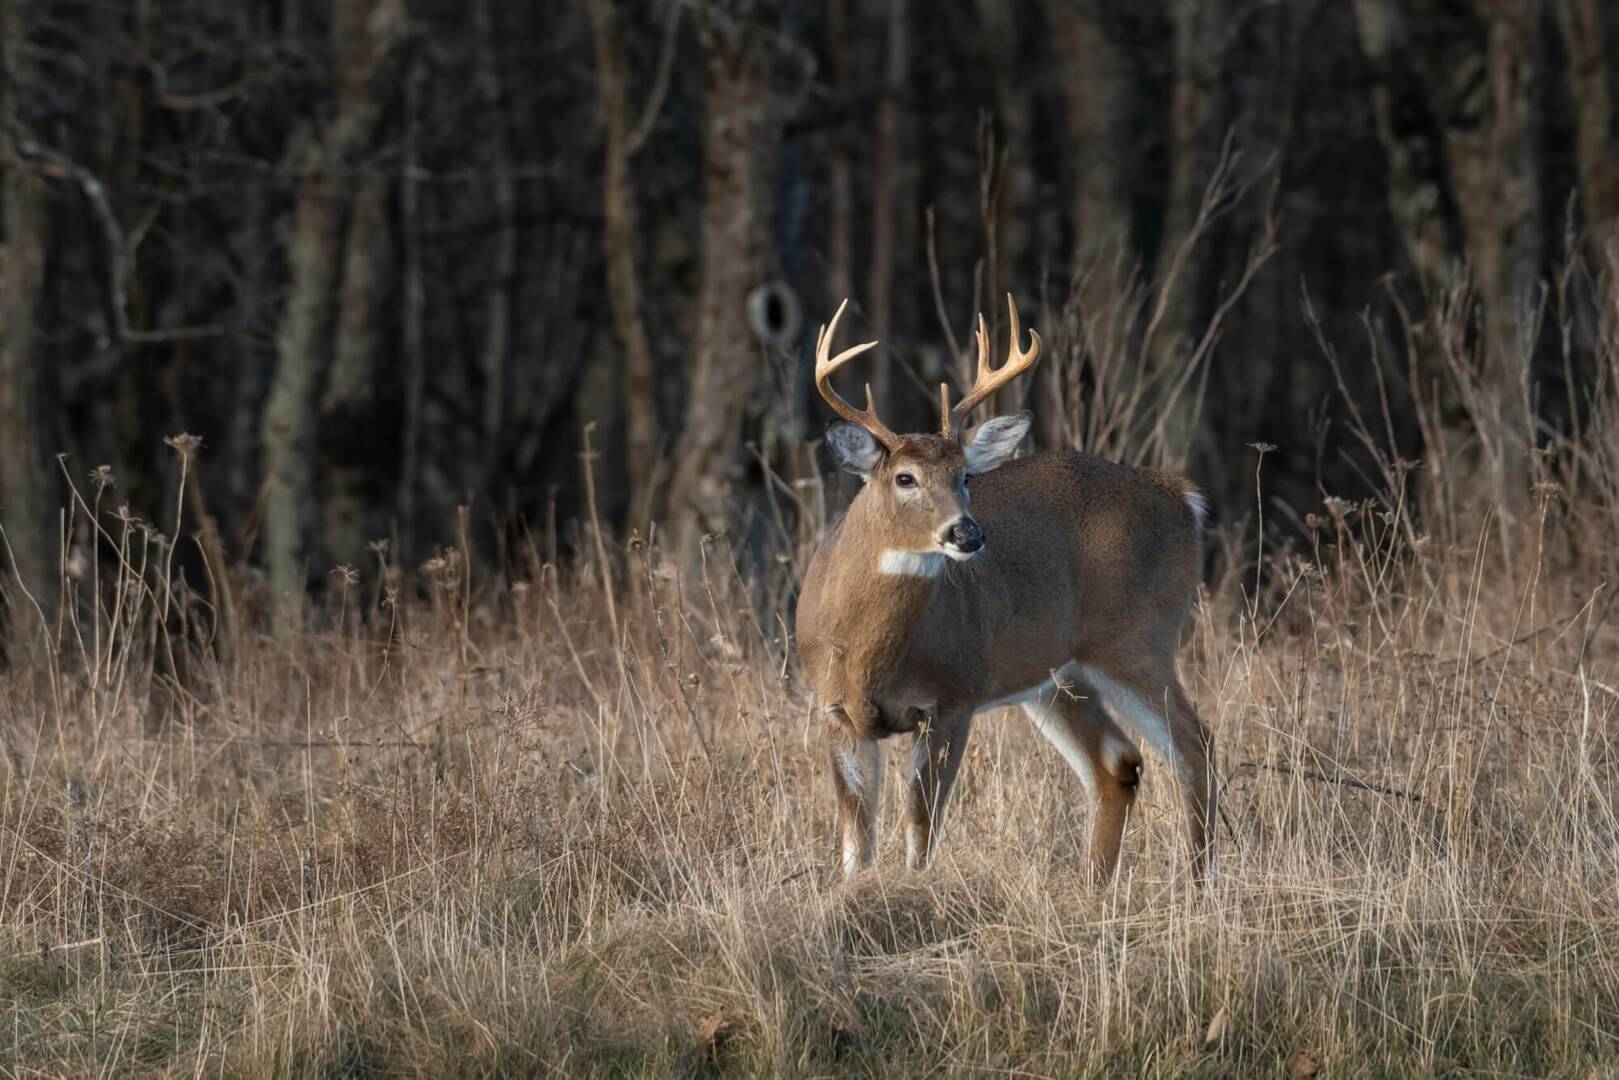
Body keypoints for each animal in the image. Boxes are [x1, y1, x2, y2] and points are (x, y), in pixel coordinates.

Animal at [796, 296, 1217, 887]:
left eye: (966, 476)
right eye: (905, 477)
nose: (967, 533)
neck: (865, 651)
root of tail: (1184, 499)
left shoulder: (954, 696)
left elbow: (920, 824)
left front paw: (913, 891)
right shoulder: (835, 708)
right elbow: (857, 840)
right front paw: (855, 896)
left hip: (1139, 639)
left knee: (1194, 746)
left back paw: (1201, 882)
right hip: (1057, 676)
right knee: (1119, 762)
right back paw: (1095, 887)